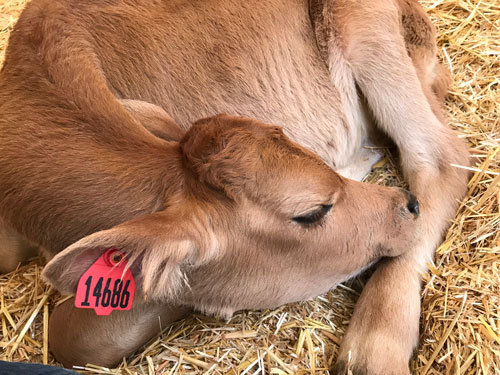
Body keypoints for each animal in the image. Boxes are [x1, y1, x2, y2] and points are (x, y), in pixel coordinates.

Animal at [0, 0, 468, 374]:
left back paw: (374, 344)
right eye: (312, 211)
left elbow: (78, 336)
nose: (406, 205)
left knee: (440, 156)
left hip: (367, 31)